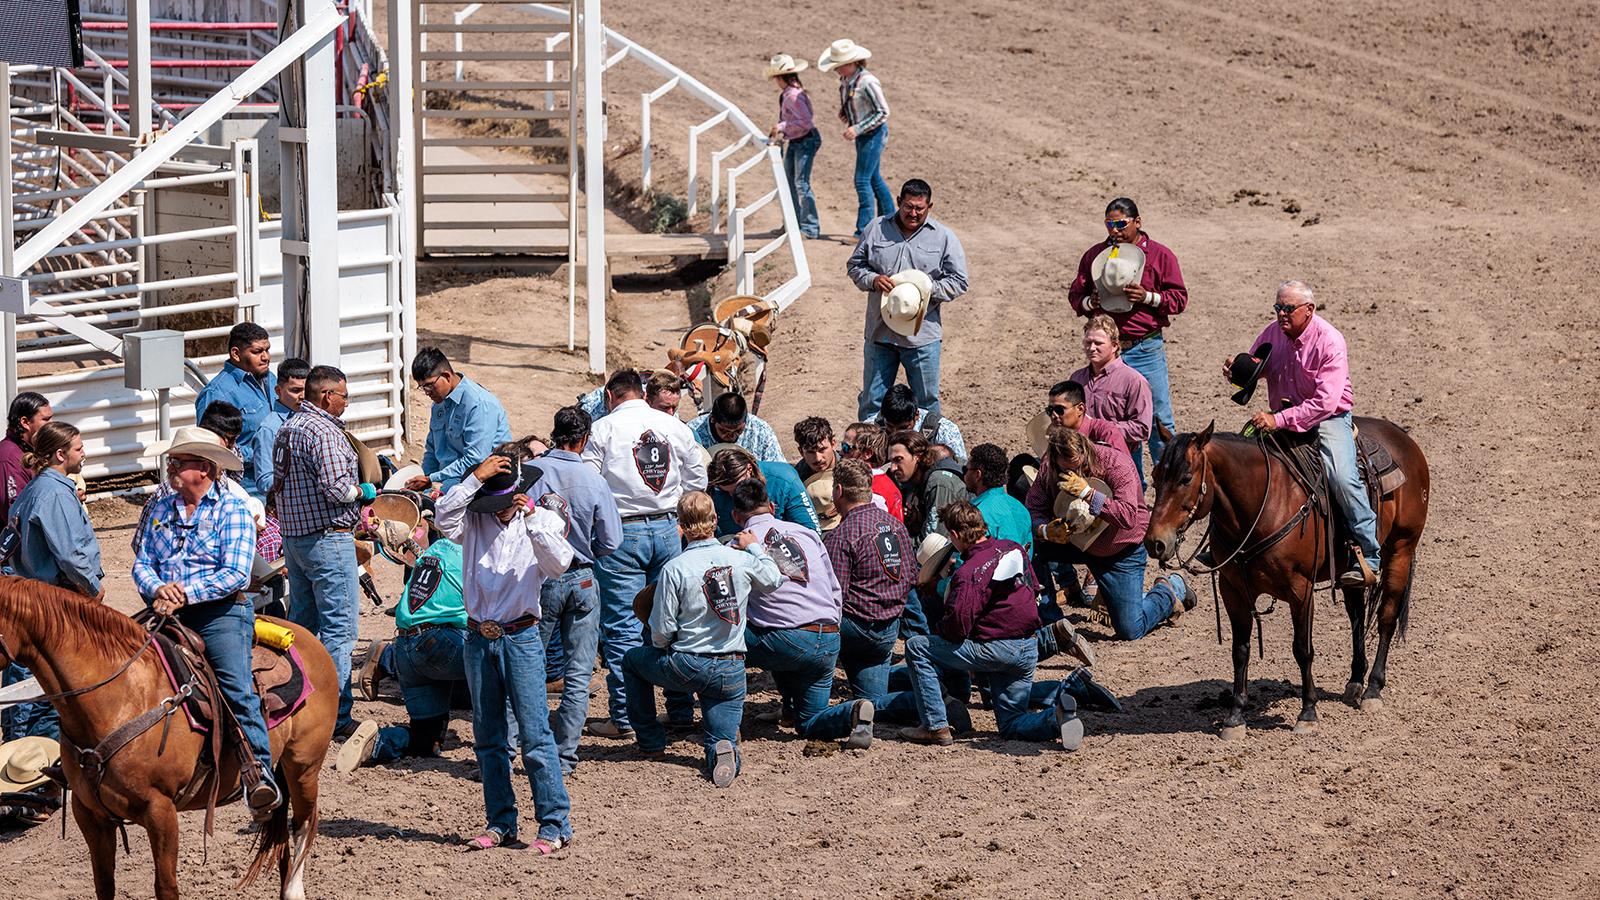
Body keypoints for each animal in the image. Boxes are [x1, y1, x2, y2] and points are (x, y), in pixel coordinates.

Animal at [0, 573, 337, 896]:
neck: (120, 696)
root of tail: (309, 637)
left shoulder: (160, 810)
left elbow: (165, 886)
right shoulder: (89, 813)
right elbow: (104, 884)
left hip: (303, 766)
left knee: (305, 823)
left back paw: (293, 889)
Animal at [1145, 416, 1433, 739]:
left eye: (1186, 478)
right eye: (1155, 476)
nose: (1155, 542)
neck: (1262, 505)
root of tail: (1403, 438)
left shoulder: (1301, 590)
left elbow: (1302, 649)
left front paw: (1308, 713)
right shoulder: (1232, 589)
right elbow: (1240, 651)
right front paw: (1235, 717)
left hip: (1401, 550)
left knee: (1386, 618)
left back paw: (1372, 689)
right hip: (1350, 573)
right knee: (1357, 617)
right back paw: (1355, 681)